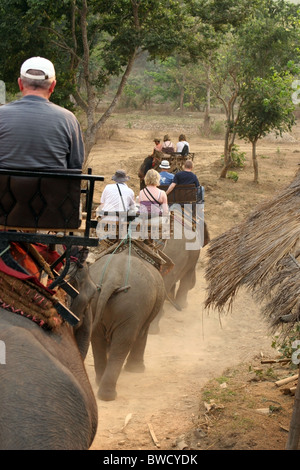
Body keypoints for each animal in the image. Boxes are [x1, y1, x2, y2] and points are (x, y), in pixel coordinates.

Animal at [88, 250, 165, 400]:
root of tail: (112, 276)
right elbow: (142, 334)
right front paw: (137, 370)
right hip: (133, 306)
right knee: (123, 342)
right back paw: (108, 395)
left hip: (97, 303)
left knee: (97, 339)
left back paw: (100, 383)